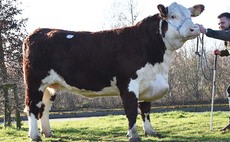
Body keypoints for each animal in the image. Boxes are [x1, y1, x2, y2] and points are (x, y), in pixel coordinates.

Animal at [22, 2, 204, 142]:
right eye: (172, 16)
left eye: (190, 15)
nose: (194, 29)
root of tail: (39, 31)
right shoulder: (128, 84)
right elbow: (131, 110)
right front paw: (133, 135)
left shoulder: (148, 84)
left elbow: (145, 109)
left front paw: (150, 132)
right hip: (34, 83)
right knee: (32, 106)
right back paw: (35, 135)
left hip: (50, 85)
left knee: (44, 107)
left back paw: (47, 133)